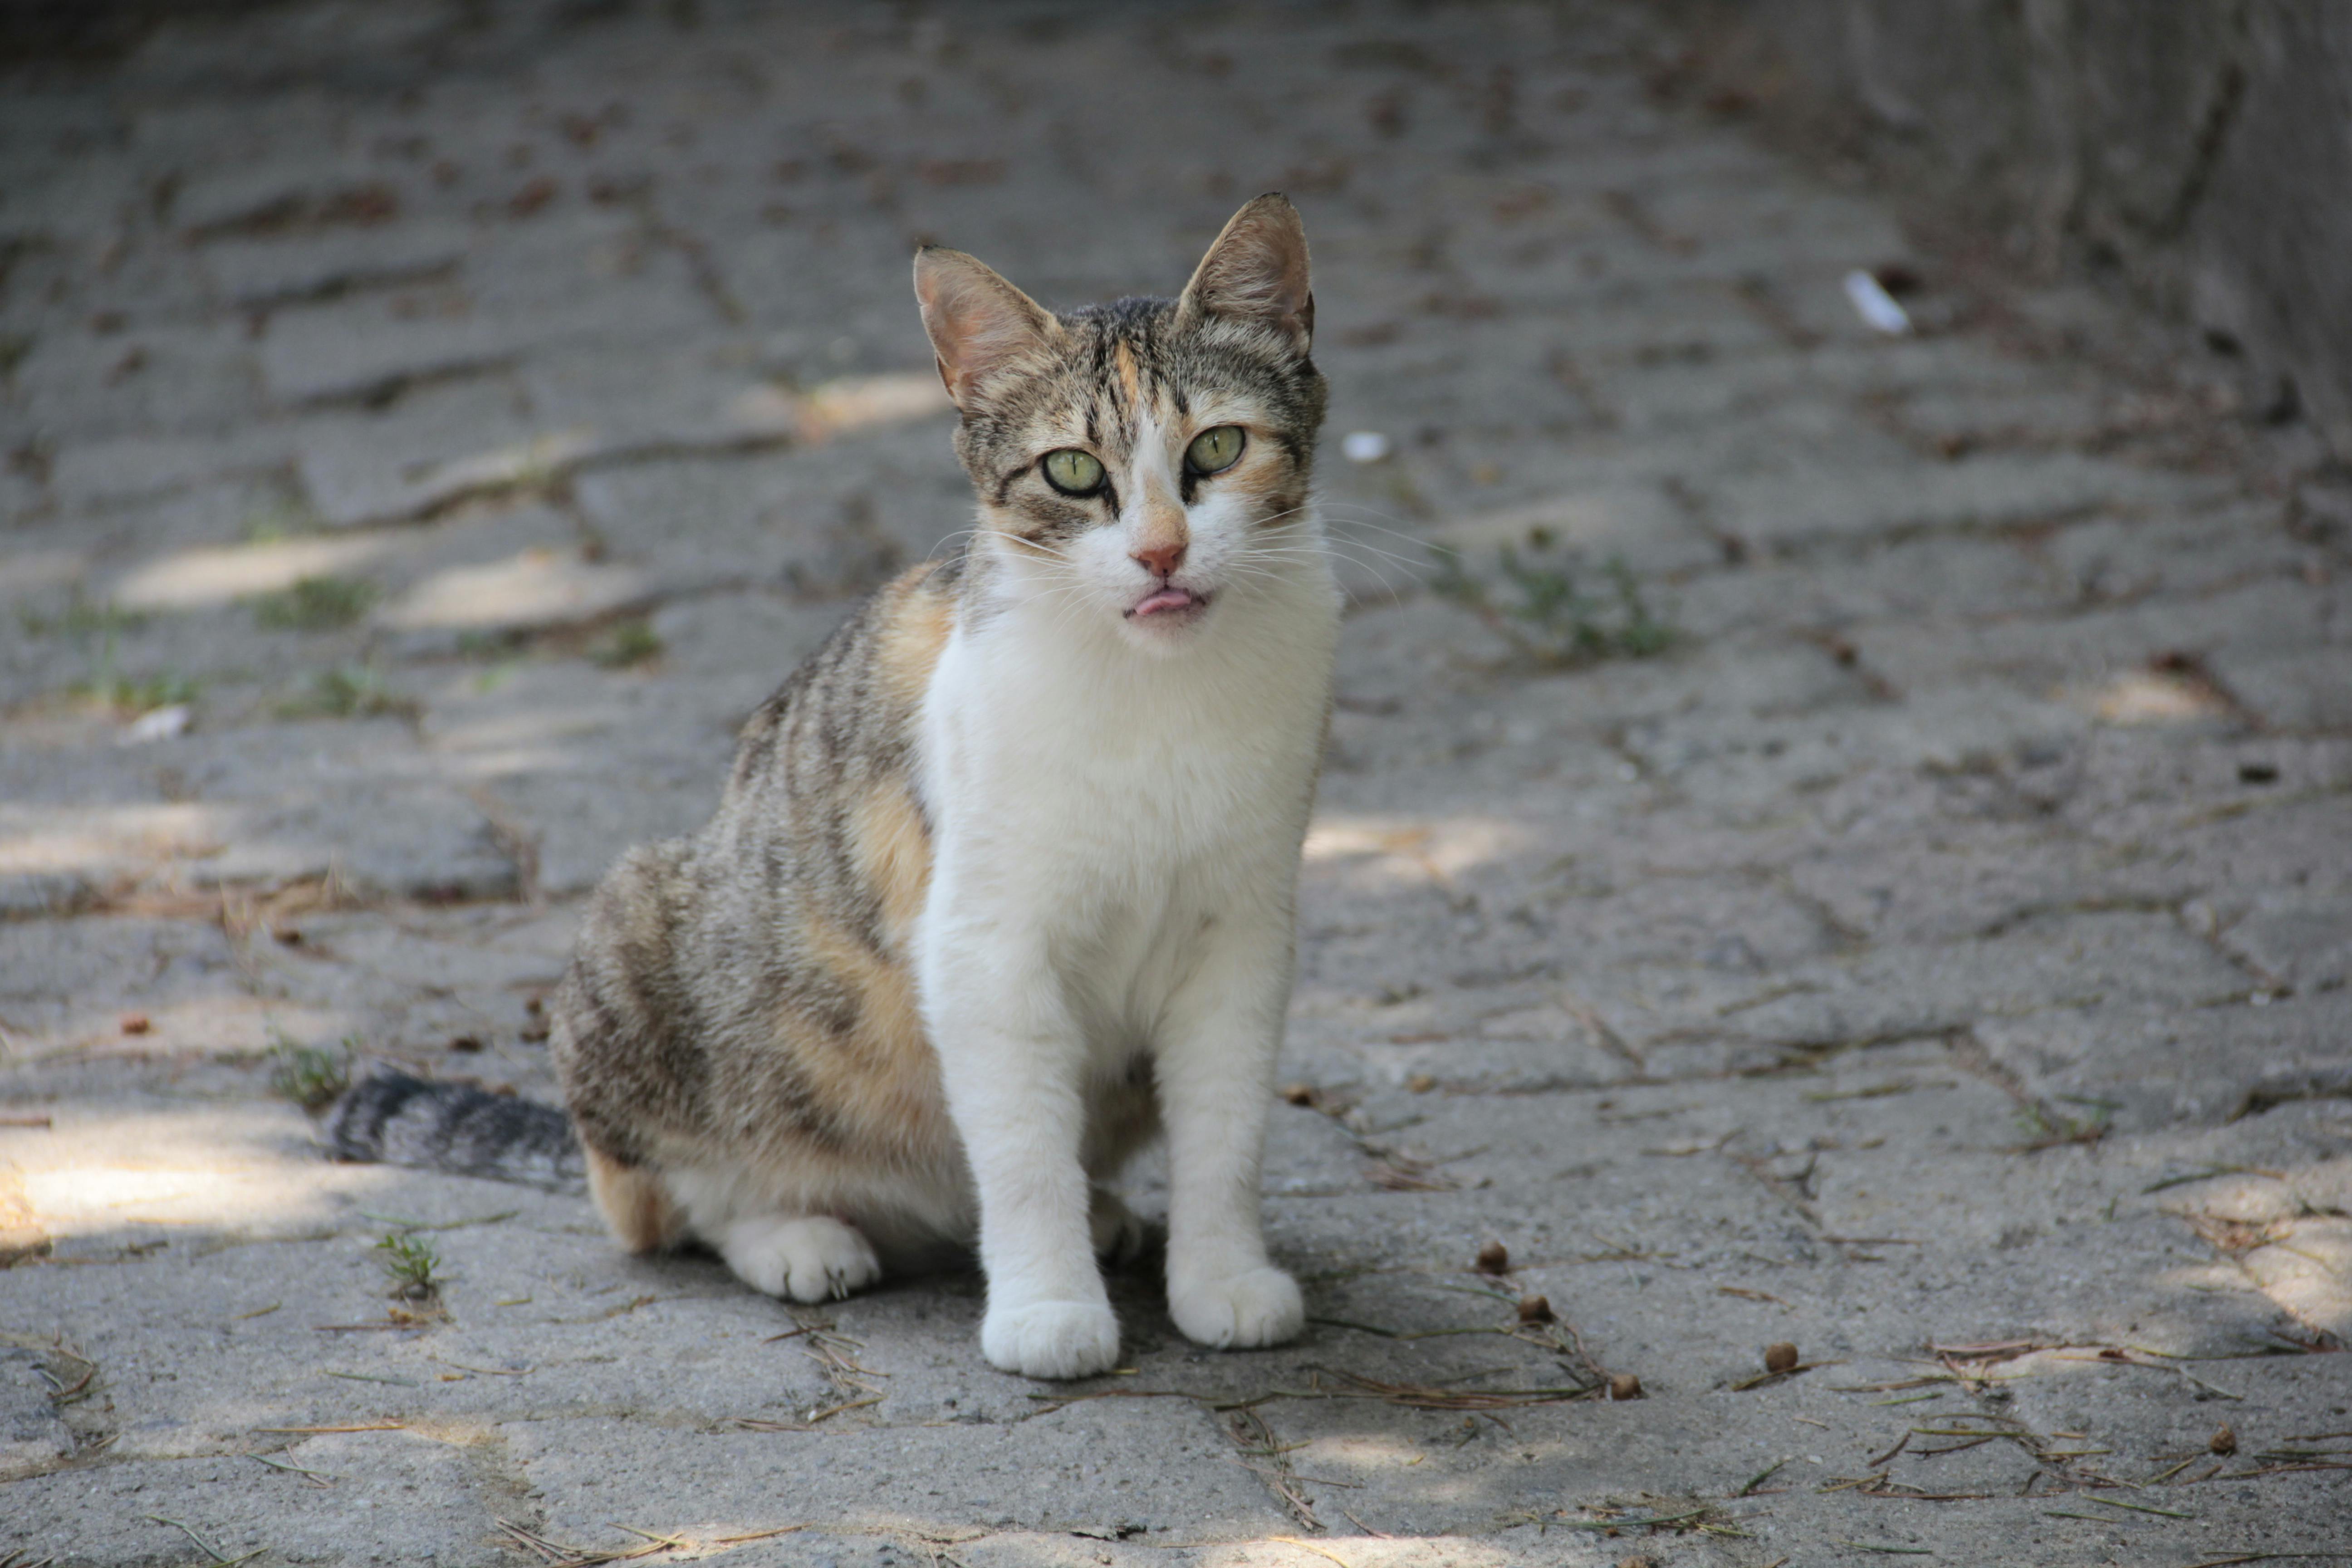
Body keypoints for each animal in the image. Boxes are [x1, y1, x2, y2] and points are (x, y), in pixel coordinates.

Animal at [541, 192, 1336, 1372]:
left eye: (1220, 447)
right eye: (1071, 472)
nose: (1159, 553)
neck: (1156, 696)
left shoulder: (1243, 930)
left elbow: (1226, 1129)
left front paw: (1224, 1278)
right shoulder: (985, 944)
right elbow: (1020, 1151)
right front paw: (1049, 1307)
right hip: (638, 937)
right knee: (668, 1198)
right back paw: (798, 1234)